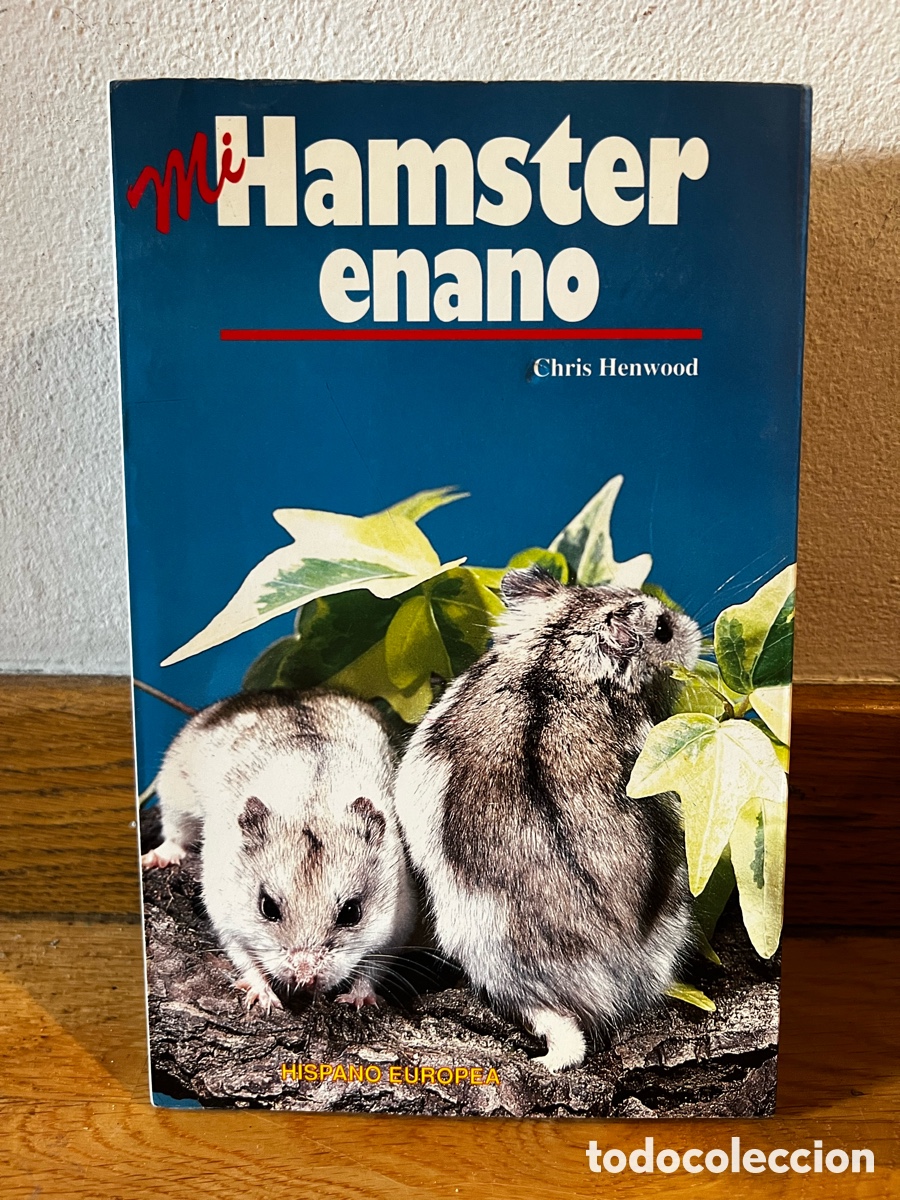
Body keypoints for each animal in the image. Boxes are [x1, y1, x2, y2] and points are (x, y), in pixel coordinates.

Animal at [142, 689, 416, 1013]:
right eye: (267, 907)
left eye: (351, 912)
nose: (305, 979)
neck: (312, 803)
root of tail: (290, 692)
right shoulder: (225, 916)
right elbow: (245, 957)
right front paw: (264, 999)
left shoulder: (398, 924)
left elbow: (373, 966)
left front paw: (358, 1000)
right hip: (175, 795)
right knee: (174, 835)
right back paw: (153, 859)